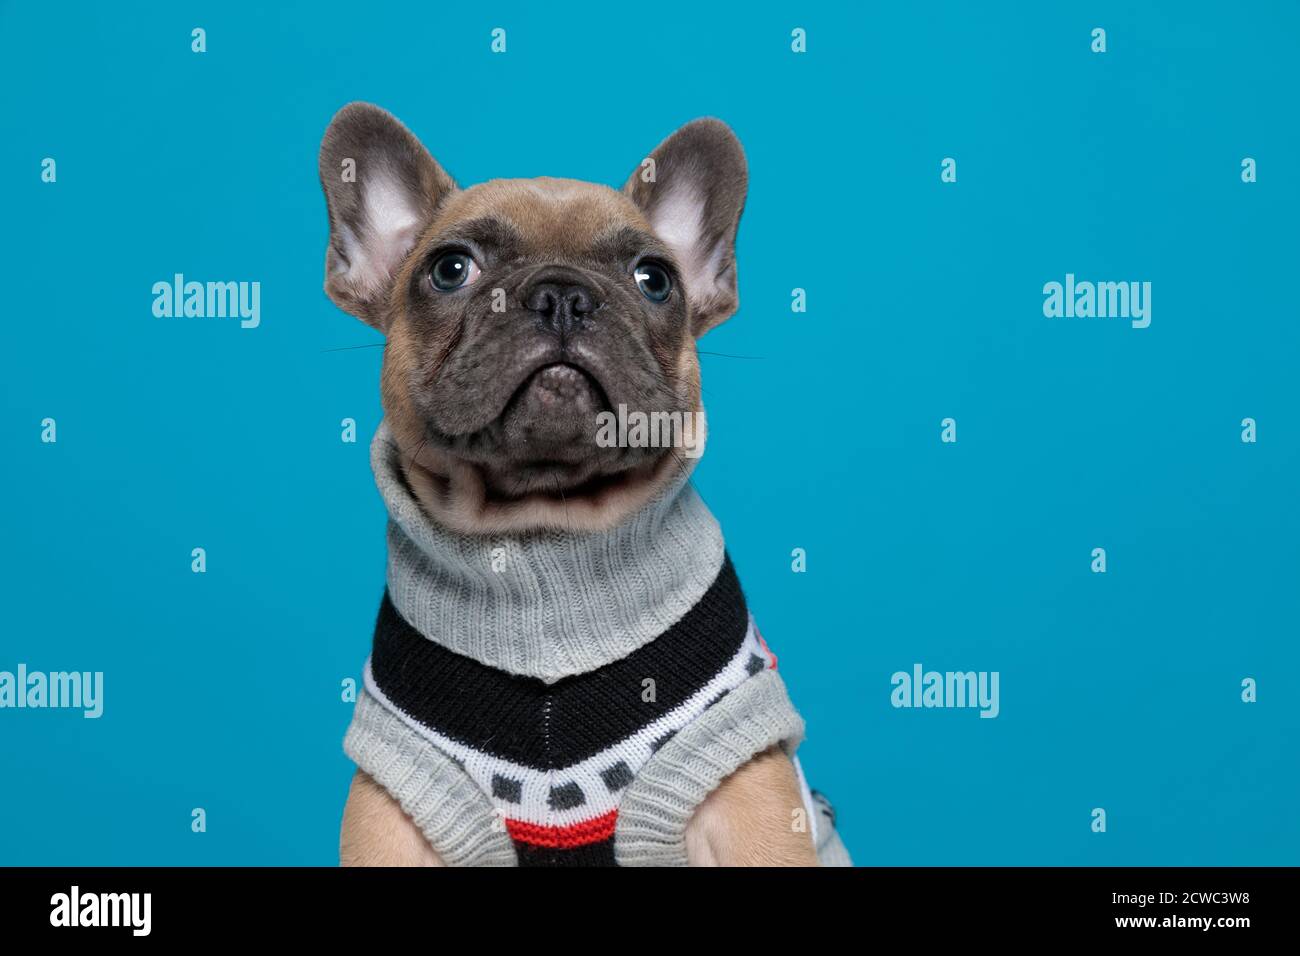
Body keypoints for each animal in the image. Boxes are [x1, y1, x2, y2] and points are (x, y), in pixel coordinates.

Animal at [319, 102, 847, 868]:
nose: (562, 295)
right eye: (450, 269)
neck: (545, 542)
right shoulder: (395, 814)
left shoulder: (749, 802)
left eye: (654, 279)